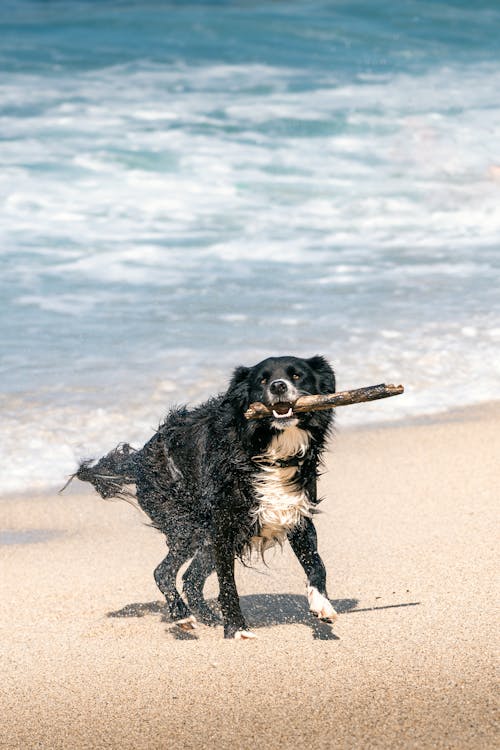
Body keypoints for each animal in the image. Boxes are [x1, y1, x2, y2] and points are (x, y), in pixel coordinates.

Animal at [74, 356, 338, 640]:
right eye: (263, 380)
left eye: (297, 375)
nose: (278, 386)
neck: (270, 447)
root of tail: (140, 458)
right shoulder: (225, 527)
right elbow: (228, 585)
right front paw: (236, 628)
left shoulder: (296, 514)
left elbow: (316, 563)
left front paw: (322, 604)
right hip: (188, 527)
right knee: (163, 572)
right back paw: (182, 616)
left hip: (208, 538)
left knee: (190, 578)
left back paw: (208, 618)